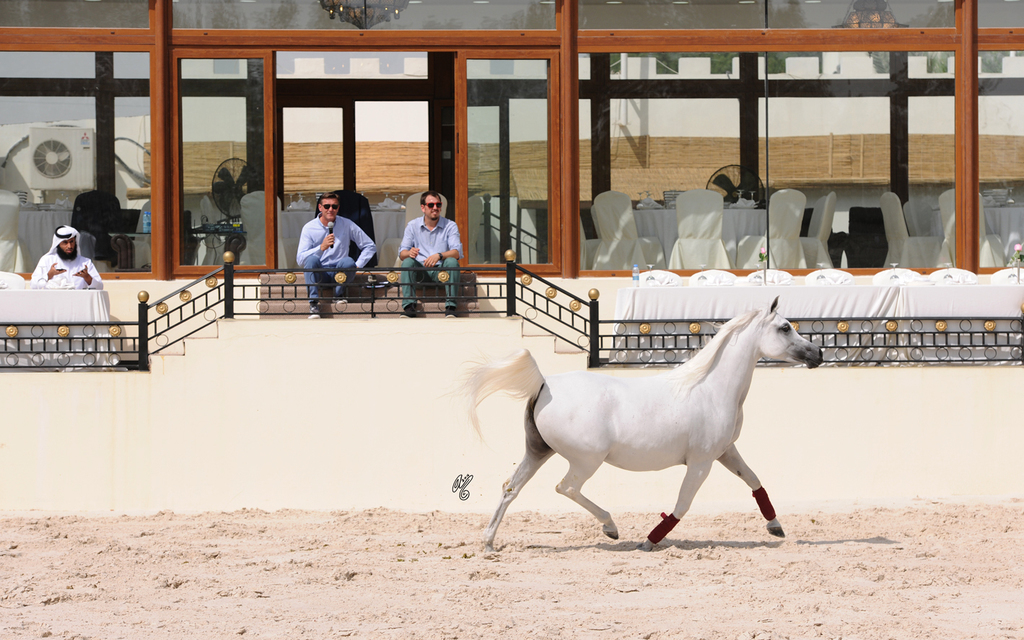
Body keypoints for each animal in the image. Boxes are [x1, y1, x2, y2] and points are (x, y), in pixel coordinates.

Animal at [462, 297, 823, 552]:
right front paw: (649, 541)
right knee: (566, 487)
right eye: (785, 327)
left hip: (538, 452)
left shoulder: (725, 452)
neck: (710, 387)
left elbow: (754, 480)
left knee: (511, 487)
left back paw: (489, 543)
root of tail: (544, 384)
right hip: (585, 460)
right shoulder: (702, 462)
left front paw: (776, 527)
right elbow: (682, 504)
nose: (817, 354)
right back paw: (611, 528)